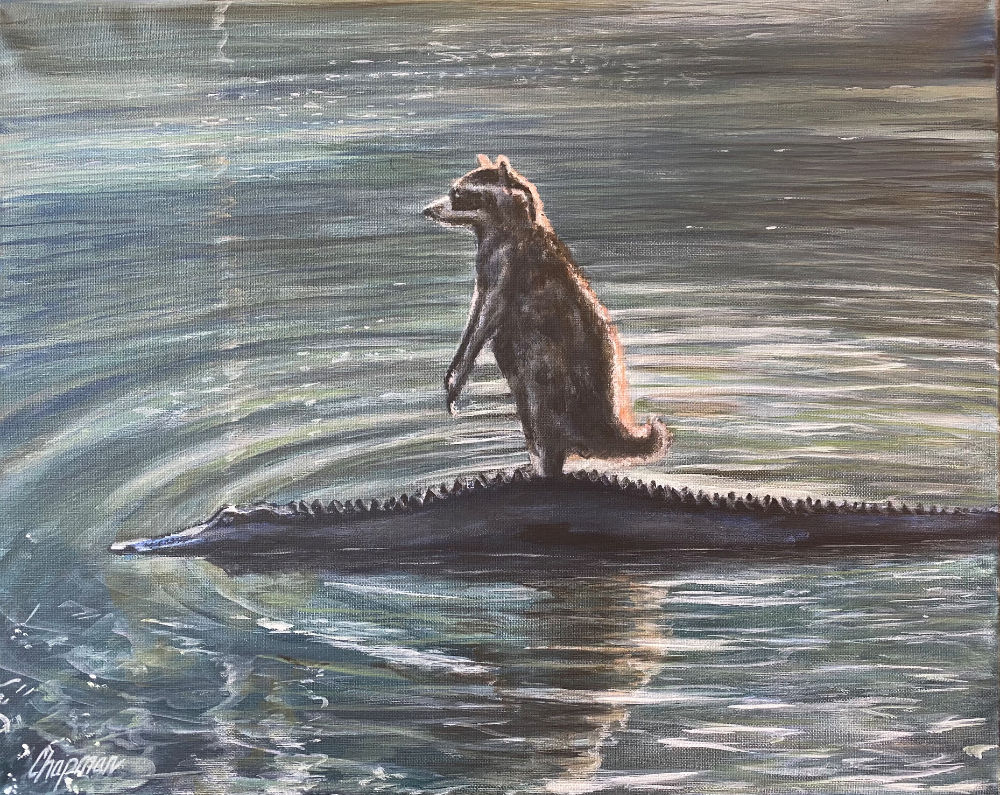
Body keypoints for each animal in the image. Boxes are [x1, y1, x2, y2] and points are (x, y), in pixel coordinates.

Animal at [423, 154, 672, 477]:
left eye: (457, 194)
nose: (427, 210)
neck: (501, 228)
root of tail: (605, 427)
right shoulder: (486, 271)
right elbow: (475, 313)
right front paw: (455, 363)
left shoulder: (512, 268)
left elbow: (488, 318)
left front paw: (462, 370)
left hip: (553, 384)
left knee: (544, 426)